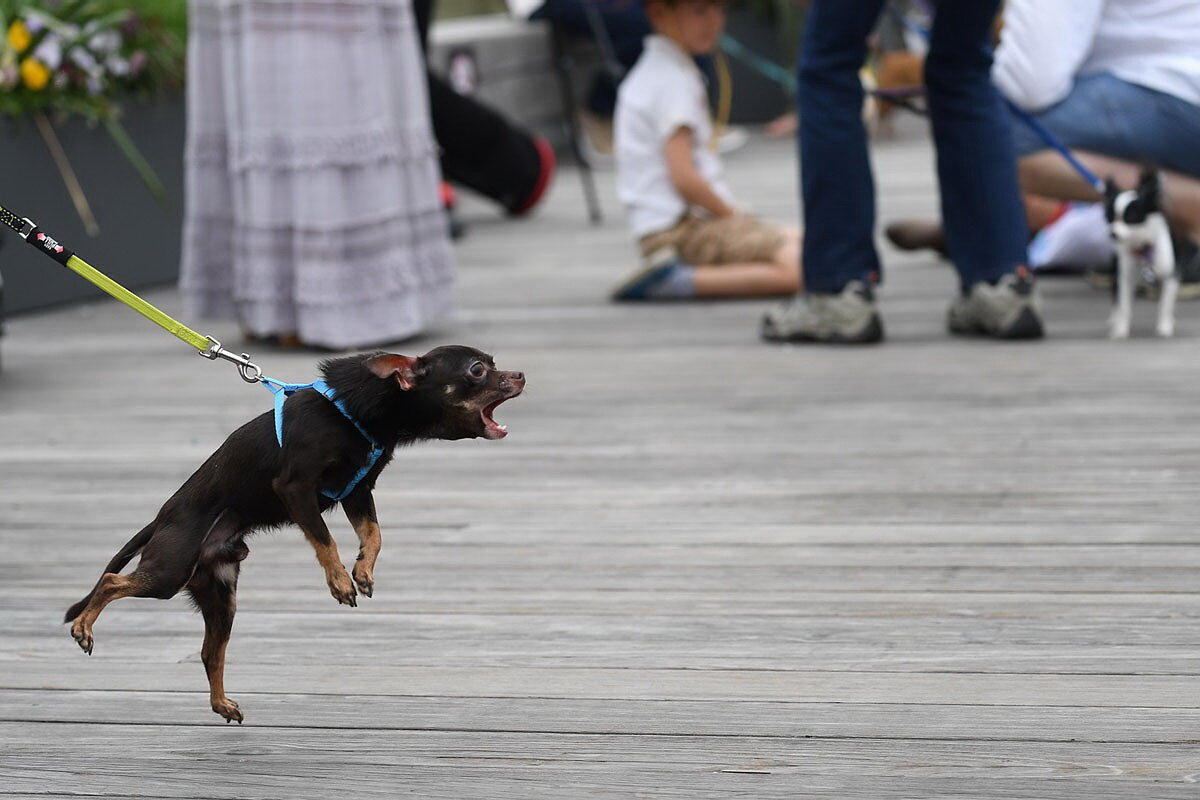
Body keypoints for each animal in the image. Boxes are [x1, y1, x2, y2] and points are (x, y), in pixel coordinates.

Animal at [60, 347, 520, 724]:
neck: (354, 413)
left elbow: (374, 534)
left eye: (493, 363)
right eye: (477, 370)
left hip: (219, 595)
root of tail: (161, 520)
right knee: (110, 581)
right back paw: (83, 627)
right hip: (170, 571)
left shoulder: (357, 491)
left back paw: (221, 704)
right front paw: (340, 581)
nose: (520, 375)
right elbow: (325, 540)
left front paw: (363, 571)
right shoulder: (296, 489)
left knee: (209, 652)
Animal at [1099, 172, 1176, 338]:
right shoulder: (1125, 277)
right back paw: (1114, 319)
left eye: (1131, 218)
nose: (1113, 233)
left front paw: (1164, 327)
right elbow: (1124, 305)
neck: (1142, 249)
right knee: (1115, 295)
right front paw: (1121, 329)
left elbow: (1166, 304)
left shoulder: (1170, 275)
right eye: (1110, 217)